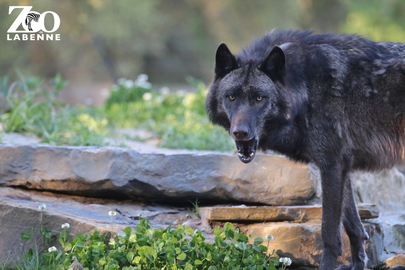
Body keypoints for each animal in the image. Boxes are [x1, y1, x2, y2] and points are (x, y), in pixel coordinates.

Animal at [205, 30, 404, 270]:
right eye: (231, 97)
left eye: (259, 98)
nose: (240, 132)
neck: (305, 90)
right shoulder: (342, 167)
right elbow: (355, 229)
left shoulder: (331, 165)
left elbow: (330, 235)